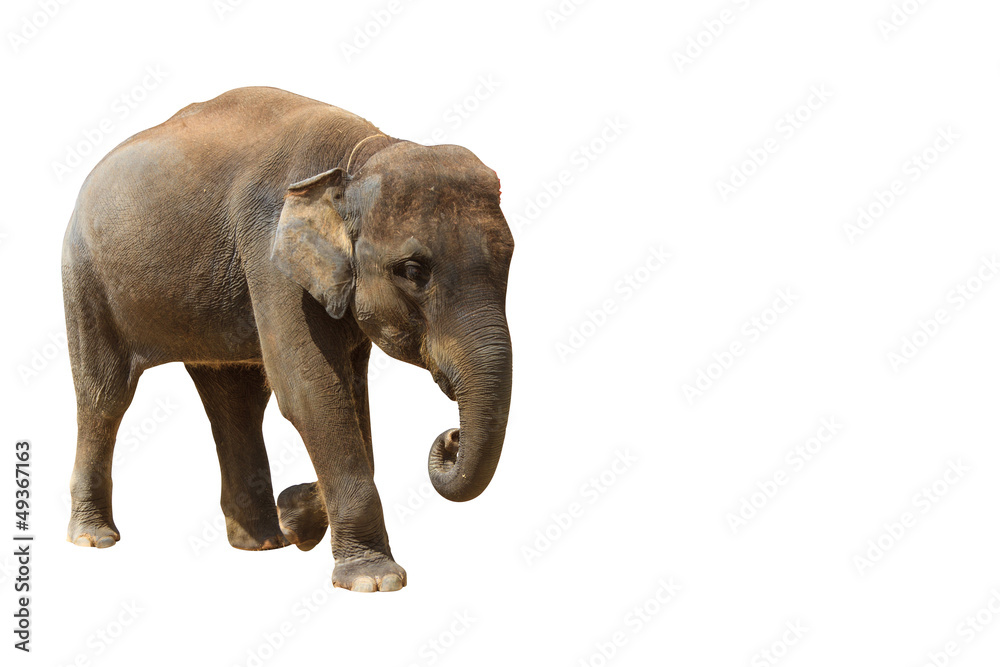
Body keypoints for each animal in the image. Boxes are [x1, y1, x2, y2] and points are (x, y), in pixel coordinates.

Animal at [61, 86, 514, 592]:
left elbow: (348, 396)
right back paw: (94, 539)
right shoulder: (270, 253)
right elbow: (309, 392)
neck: (357, 158)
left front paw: (296, 514)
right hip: (85, 275)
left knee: (235, 400)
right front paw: (373, 580)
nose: (451, 435)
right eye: (414, 271)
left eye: (510, 259)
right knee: (105, 396)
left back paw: (262, 542)